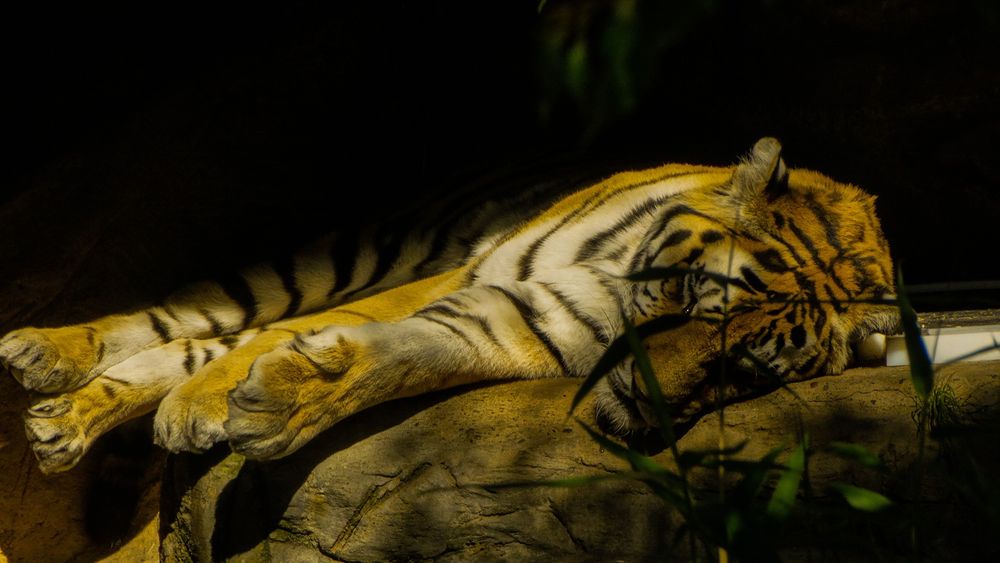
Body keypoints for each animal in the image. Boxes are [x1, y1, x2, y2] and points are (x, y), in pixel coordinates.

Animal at [0, 138, 898, 474]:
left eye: (743, 363)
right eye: (684, 298)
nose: (646, 402)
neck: (612, 284)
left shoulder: (510, 322)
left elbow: (394, 360)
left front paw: (281, 405)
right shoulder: (460, 275)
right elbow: (306, 331)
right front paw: (204, 405)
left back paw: (66, 420)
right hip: (341, 254)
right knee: (184, 318)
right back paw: (47, 357)